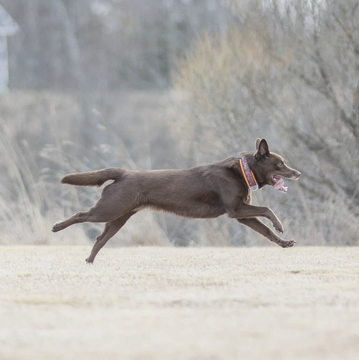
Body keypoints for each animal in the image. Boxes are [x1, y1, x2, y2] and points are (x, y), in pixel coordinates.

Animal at [52, 139, 300, 262]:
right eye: (280, 164)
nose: (298, 173)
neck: (242, 171)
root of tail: (123, 173)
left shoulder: (242, 215)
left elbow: (265, 230)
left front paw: (284, 242)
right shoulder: (236, 209)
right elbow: (267, 209)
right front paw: (280, 225)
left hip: (119, 217)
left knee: (100, 239)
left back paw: (89, 261)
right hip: (109, 209)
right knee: (81, 215)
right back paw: (56, 227)